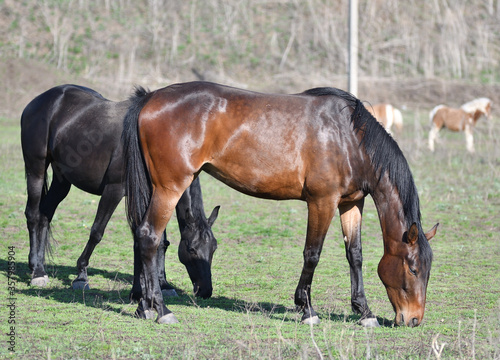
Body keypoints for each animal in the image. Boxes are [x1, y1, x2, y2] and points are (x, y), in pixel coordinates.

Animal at [19, 84, 219, 296]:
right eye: (192, 249)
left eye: (213, 248)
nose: (205, 291)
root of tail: (40, 100)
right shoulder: (114, 190)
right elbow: (97, 232)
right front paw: (81, 275)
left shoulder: (153, 195)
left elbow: (157, 240)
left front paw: (161, 284)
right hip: (36, 170)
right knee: (33, 214)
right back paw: (37, 271)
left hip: (61, 179)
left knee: (45, 215)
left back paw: (40, 267)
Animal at [122, 81, 438, 326]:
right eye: (413, 269)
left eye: (427, 269)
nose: (414, 320)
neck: (348, 138)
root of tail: (150, 98)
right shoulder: (322, 202)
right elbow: (312, 254)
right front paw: (307, 308)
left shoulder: (351, 204)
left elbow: (355, 256)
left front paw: (364, 312)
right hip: (170, 188)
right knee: (150, 237)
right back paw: (162, 310)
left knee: (143, 238)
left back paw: (145, 307)